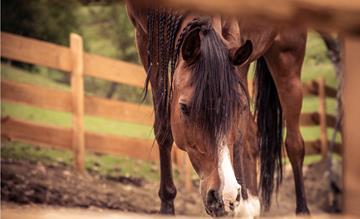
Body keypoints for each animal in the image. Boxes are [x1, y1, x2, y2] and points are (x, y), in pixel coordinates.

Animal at [124, 2, 310, 217]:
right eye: (184, 107)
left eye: (239, 106)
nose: (223, 196)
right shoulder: (147, 40)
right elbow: (163, 128)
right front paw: (167, 205)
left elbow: (238, 136)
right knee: (252, 134)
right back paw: (250, 202)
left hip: (287, 60)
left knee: (294, 143)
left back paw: (298, 209)